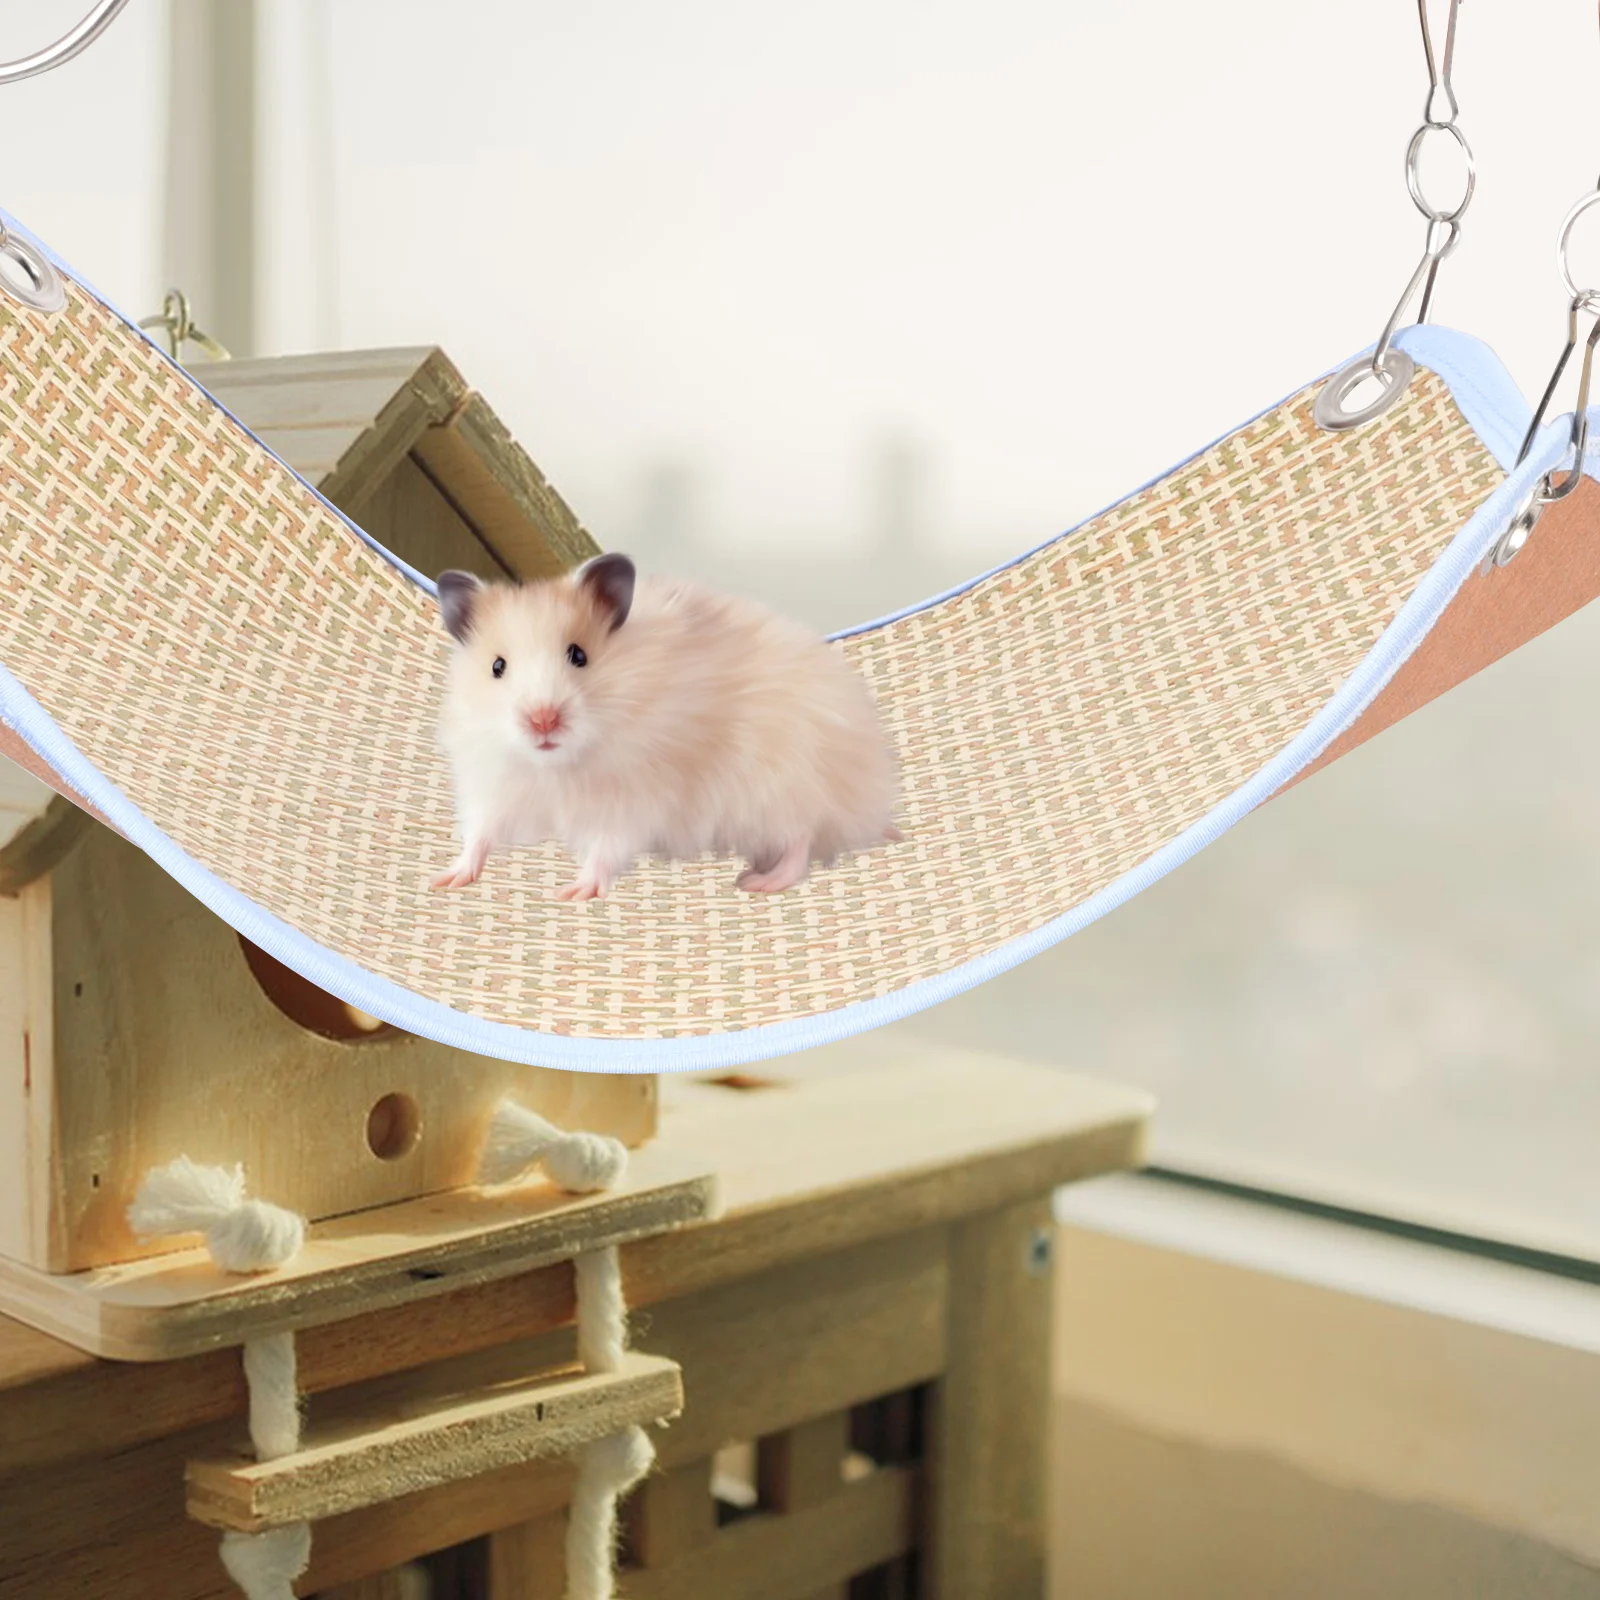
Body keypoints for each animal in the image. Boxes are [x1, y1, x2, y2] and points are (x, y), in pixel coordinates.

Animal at [430, 553, 901, 900]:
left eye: (579, 655)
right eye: (497, 666)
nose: (542, 719)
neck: (559, 766)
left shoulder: (633, 800)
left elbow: (605, 849)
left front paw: (573, 893)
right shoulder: (496, 786)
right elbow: (480, 834)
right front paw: (446, 879)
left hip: (785, 783)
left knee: (802, 840)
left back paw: (756, 882)